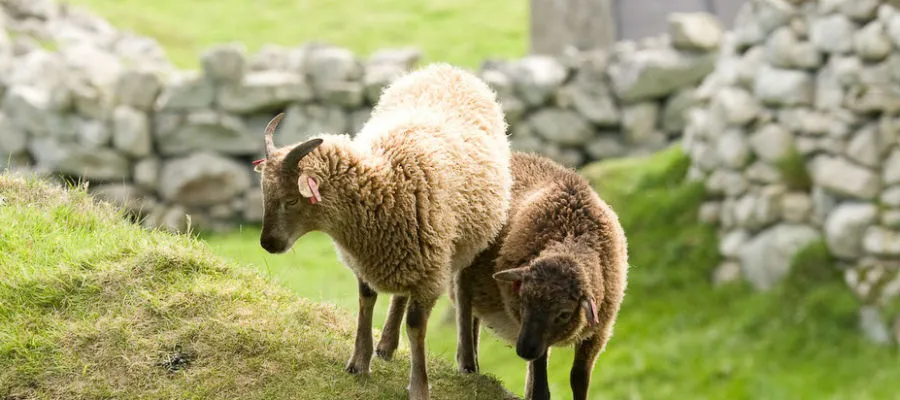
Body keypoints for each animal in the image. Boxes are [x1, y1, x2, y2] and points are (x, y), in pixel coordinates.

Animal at [252, 62, 513, 400]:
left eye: (291, 199)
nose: (268, 243)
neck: (386, 182)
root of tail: (447, 69)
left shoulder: (430, 273)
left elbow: (416, 326)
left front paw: (419, 386)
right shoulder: (367, 260)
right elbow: (366, 302)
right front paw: (358, 363)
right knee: (399, 294)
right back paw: (386, 345)